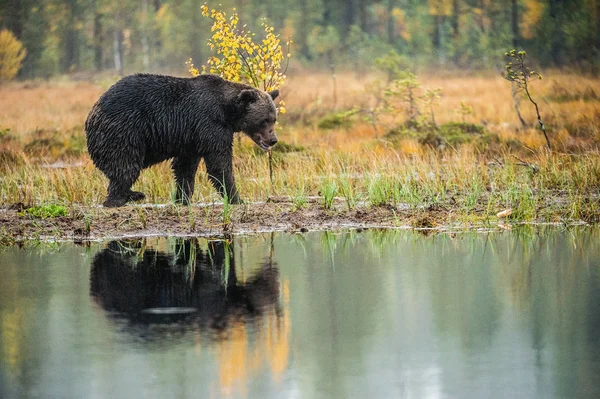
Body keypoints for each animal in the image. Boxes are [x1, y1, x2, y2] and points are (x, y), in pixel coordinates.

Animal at [84, 73, 278, 208]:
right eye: (264, 120)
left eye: (274, 118)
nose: (273, 140)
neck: (227, 111)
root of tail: (92, 113)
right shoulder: (210, 124)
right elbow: (219, 164)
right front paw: (237, 198)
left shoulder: (191, 137)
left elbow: (185, 167)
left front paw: (182, 198)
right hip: (124, 131)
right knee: (125, 166)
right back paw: (123, 198)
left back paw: (132, 195)